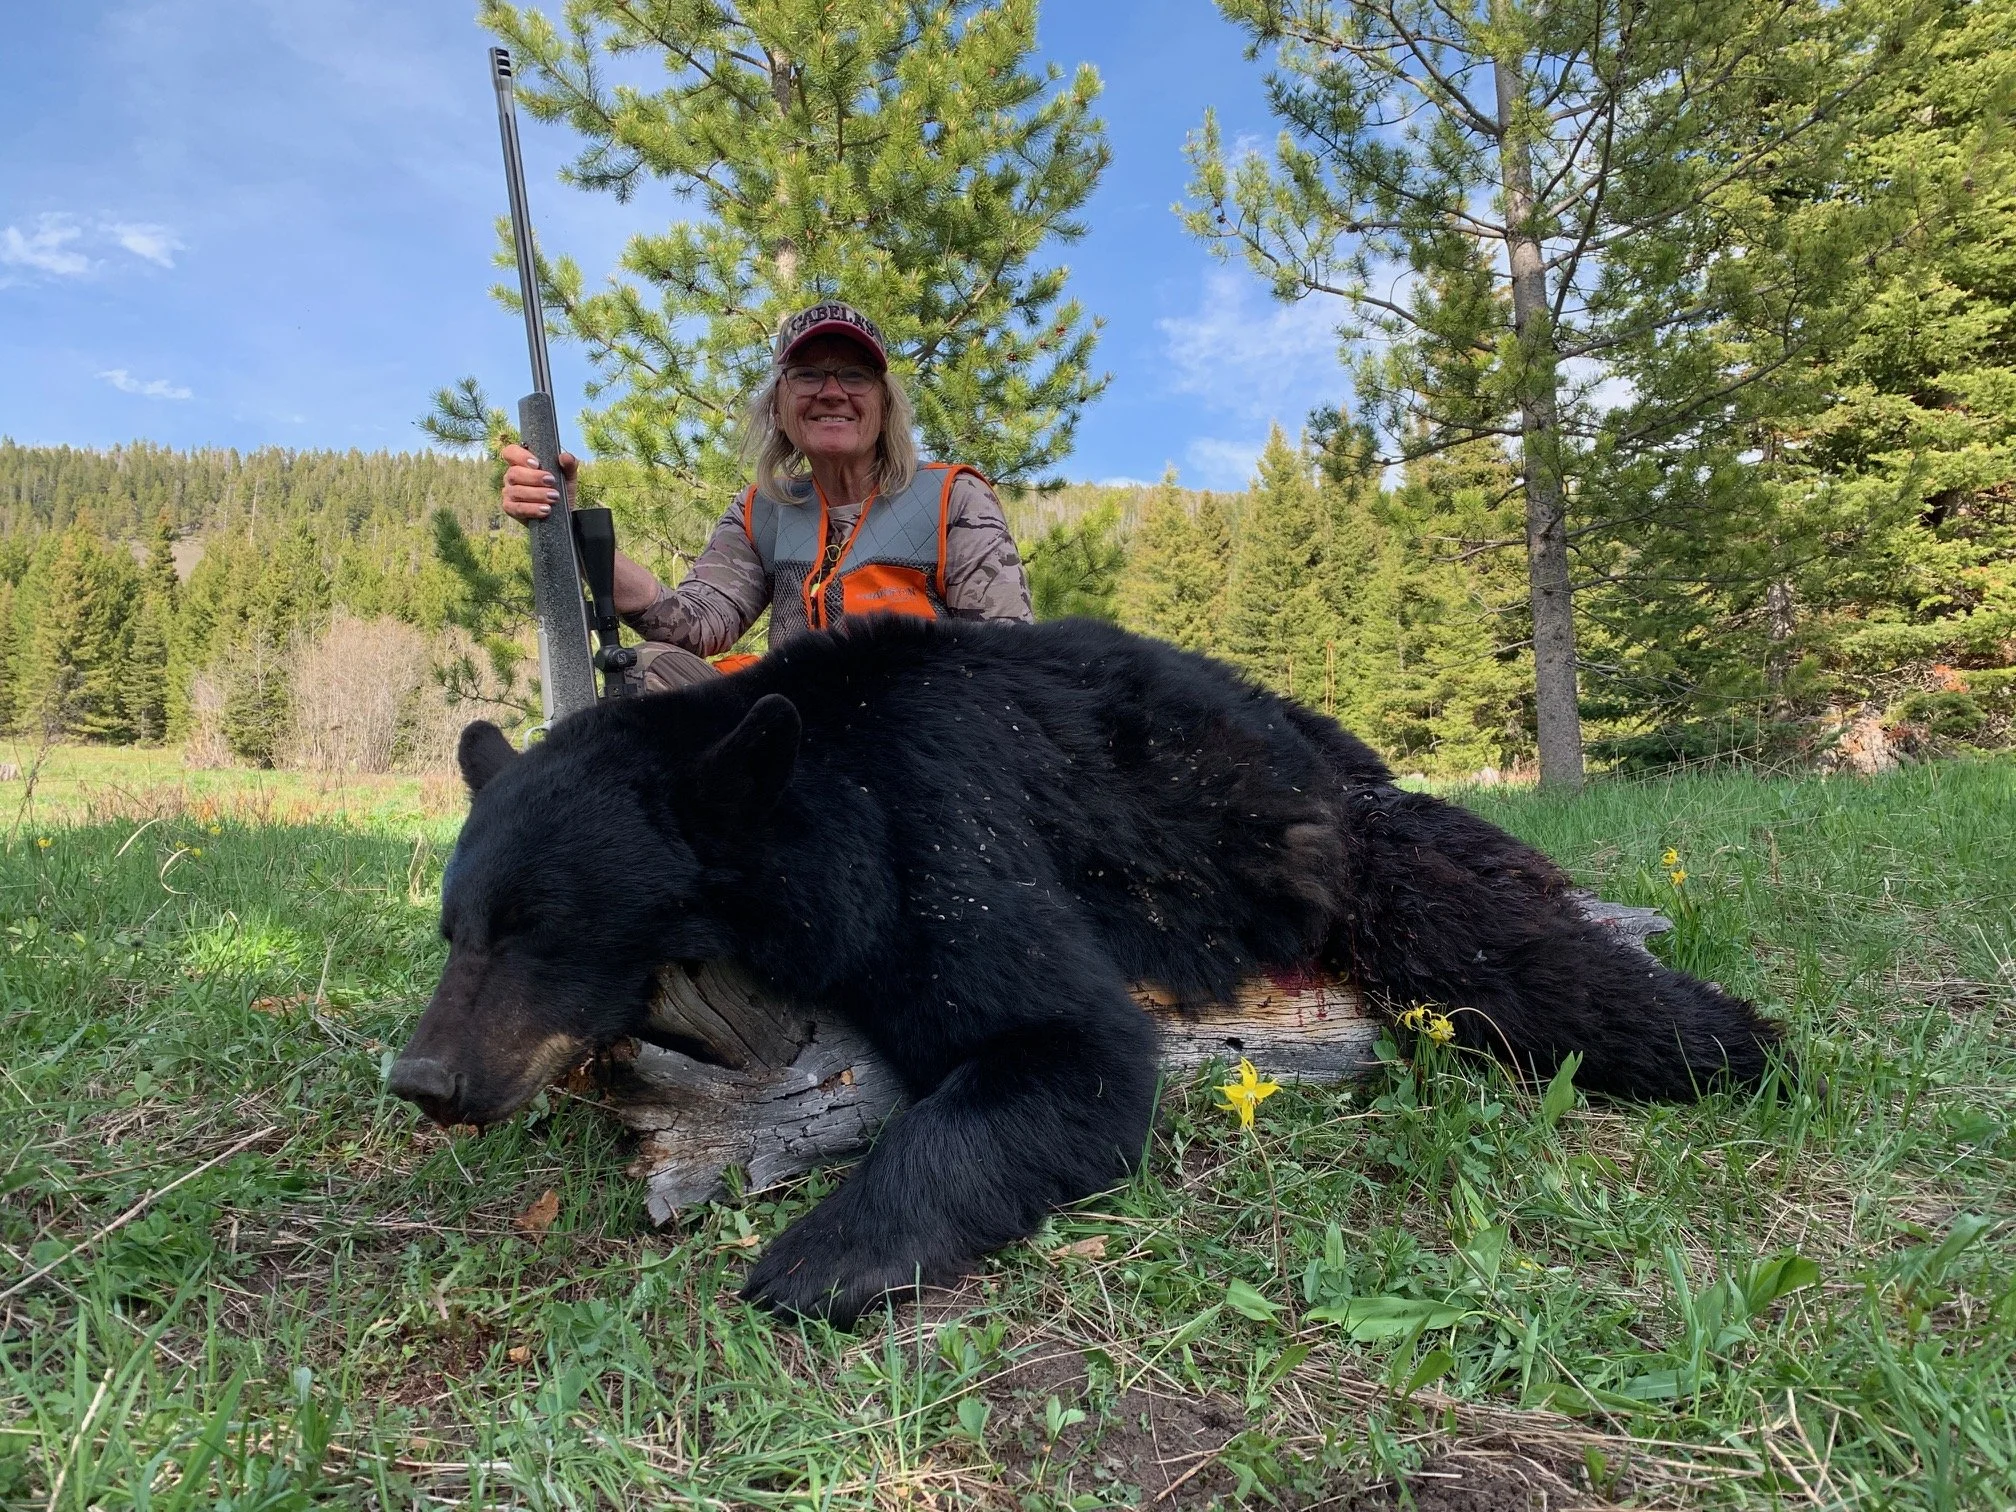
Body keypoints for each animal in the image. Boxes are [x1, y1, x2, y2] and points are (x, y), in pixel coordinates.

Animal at [390, 615, 1780, 1325]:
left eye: (541, 926)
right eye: (458, 927)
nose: (423, 1078)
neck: (817, 785)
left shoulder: (934, 825)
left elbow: (1067, 1048)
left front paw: (820, 1256)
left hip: (1345, 847)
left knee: (1488, 944)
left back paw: (1734, 1038)